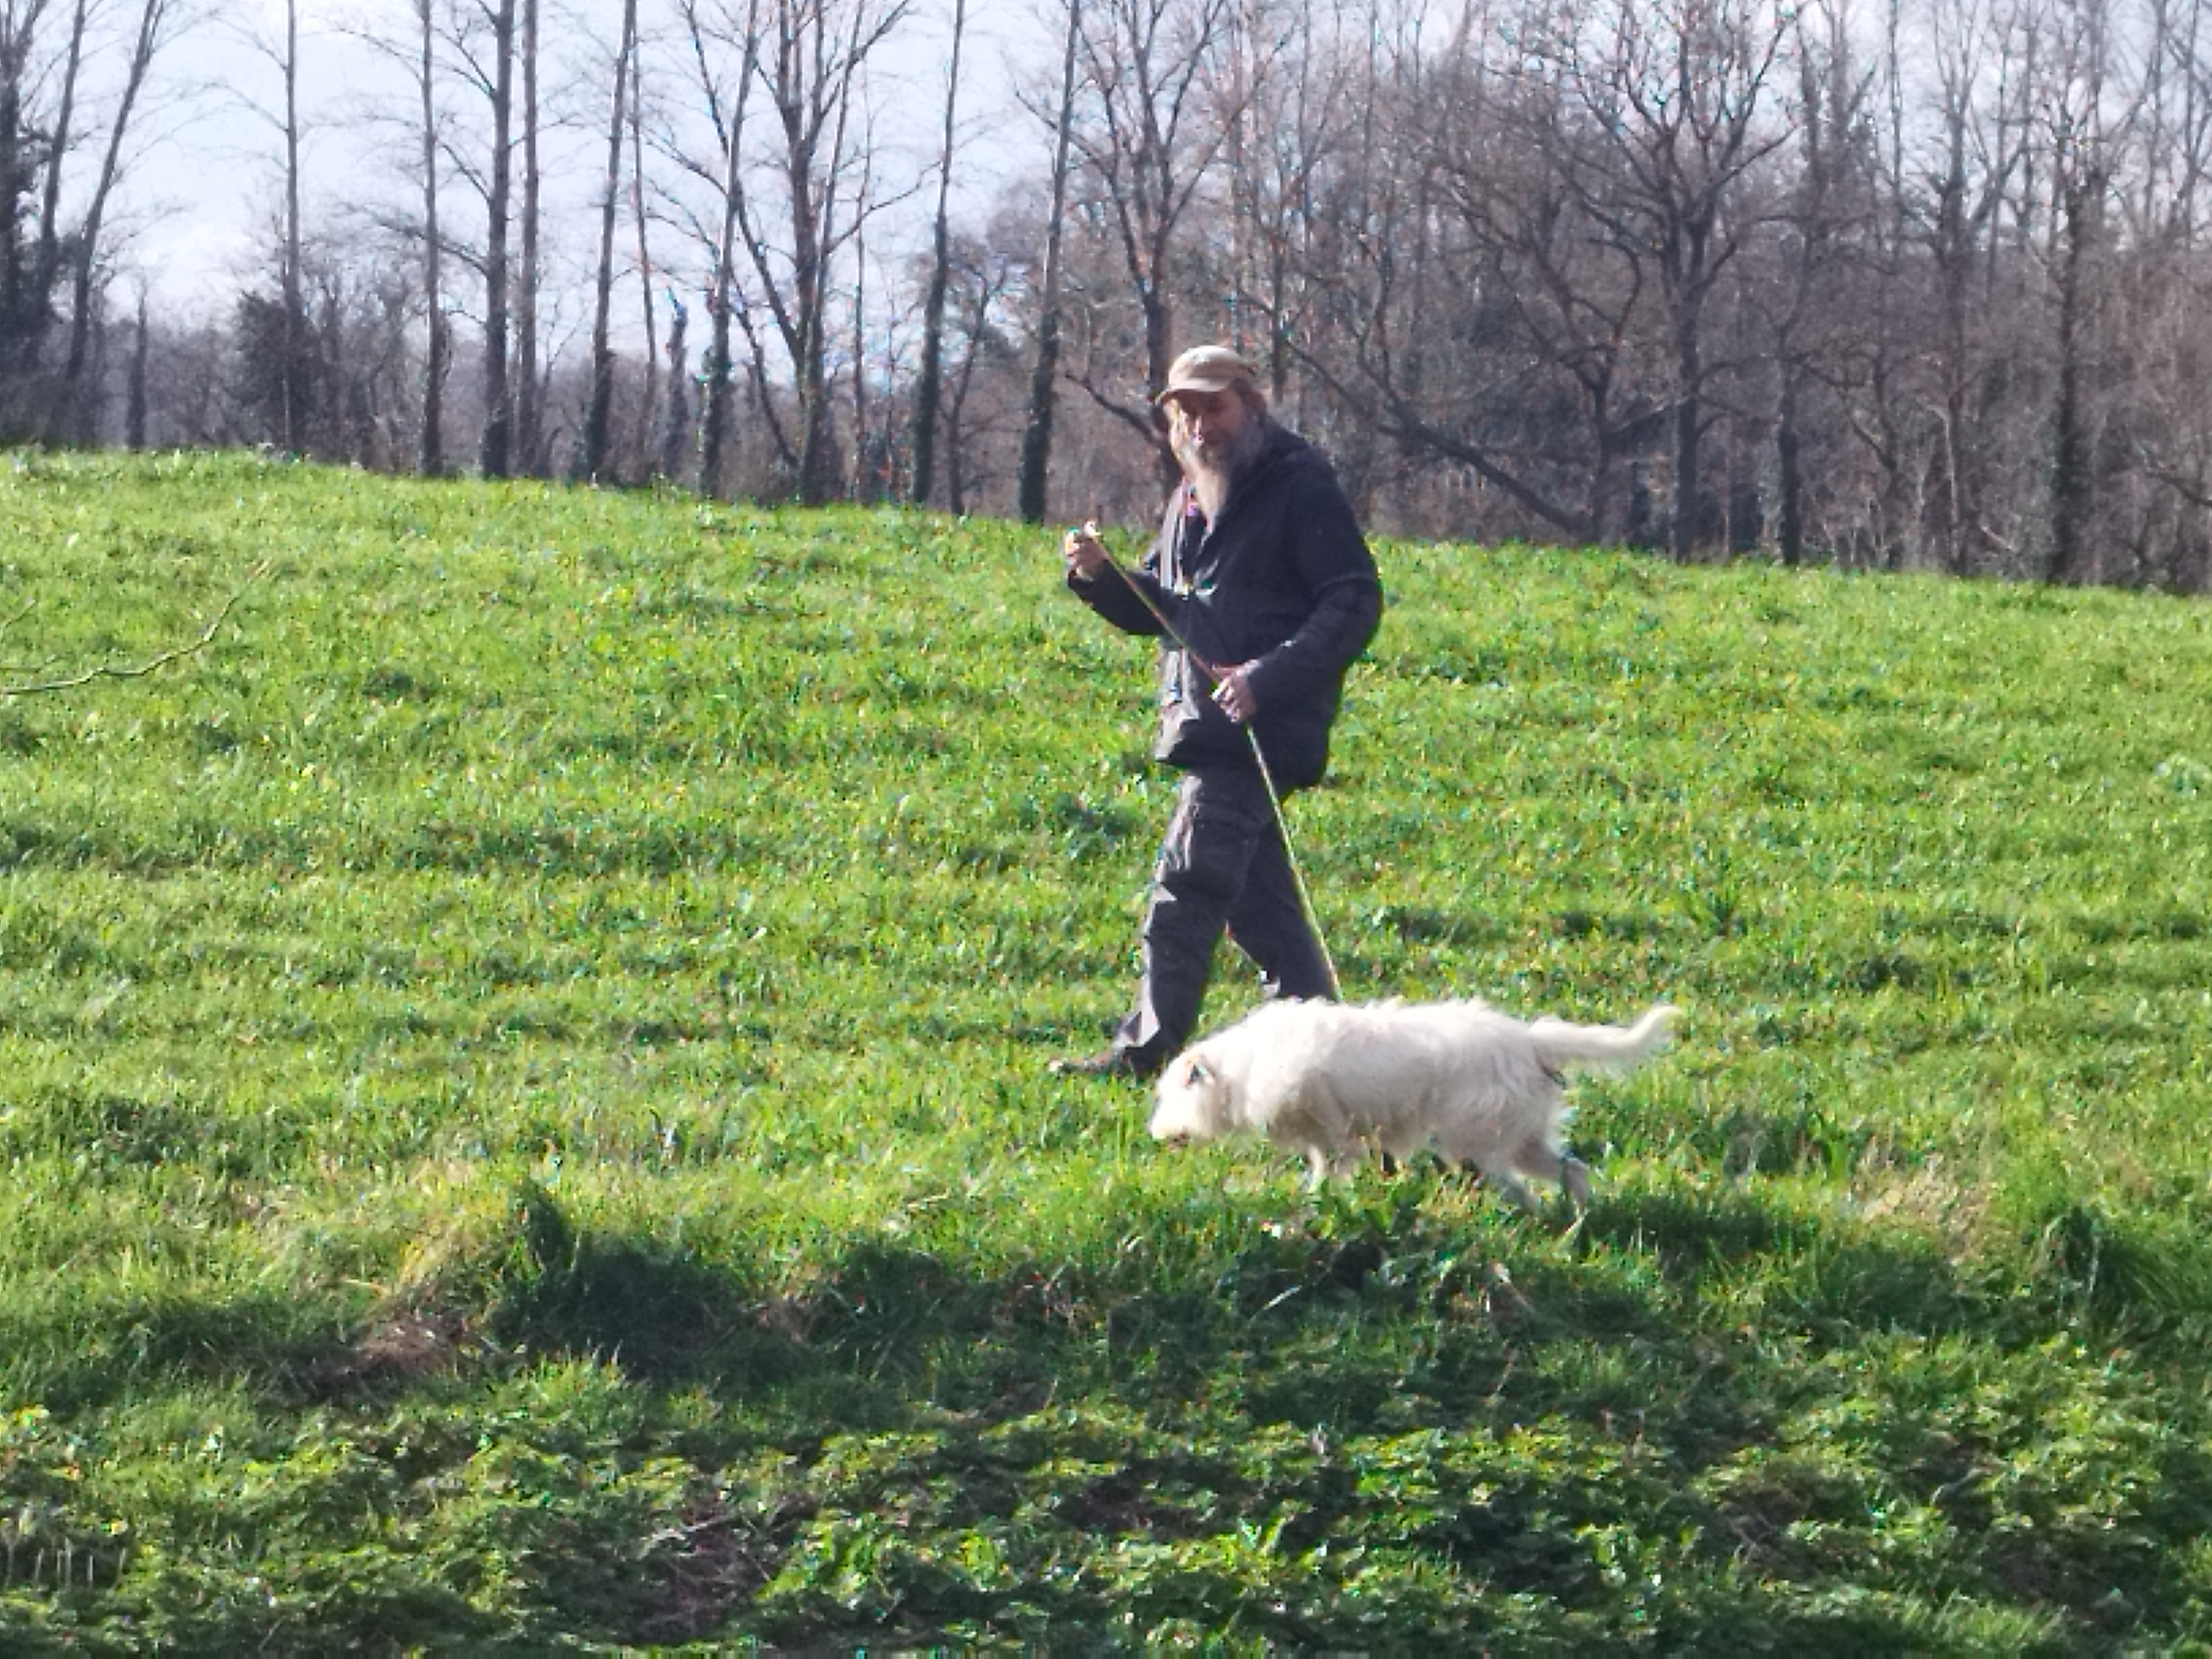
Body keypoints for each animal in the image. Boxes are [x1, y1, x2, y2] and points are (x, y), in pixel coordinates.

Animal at [1149, 997, 1675, 1206]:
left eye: (1170, 1096)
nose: (1155, 1134)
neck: (1247, 1066)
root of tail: (1529, 1041)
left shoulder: (1334, 1133)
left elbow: (1330, 1168)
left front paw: (1318, 1201)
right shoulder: (1324, 1138)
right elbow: (1322, 1167)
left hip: (1477, 1144)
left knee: (1520, 1190)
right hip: (1524, 1138)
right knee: (1573, 1171)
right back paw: (1575, 1221)